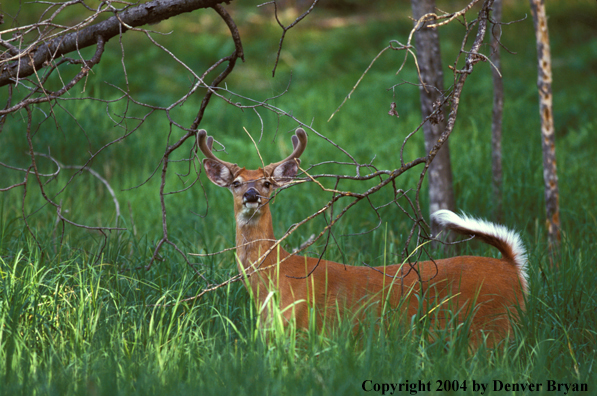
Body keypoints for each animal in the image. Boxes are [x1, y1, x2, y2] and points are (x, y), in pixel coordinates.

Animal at [198, 127, 528, 346]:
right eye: (237, 183)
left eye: (267, 183)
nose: (252, 195)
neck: (274, 279)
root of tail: (512, 268)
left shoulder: (303, 329)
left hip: (493, 325)